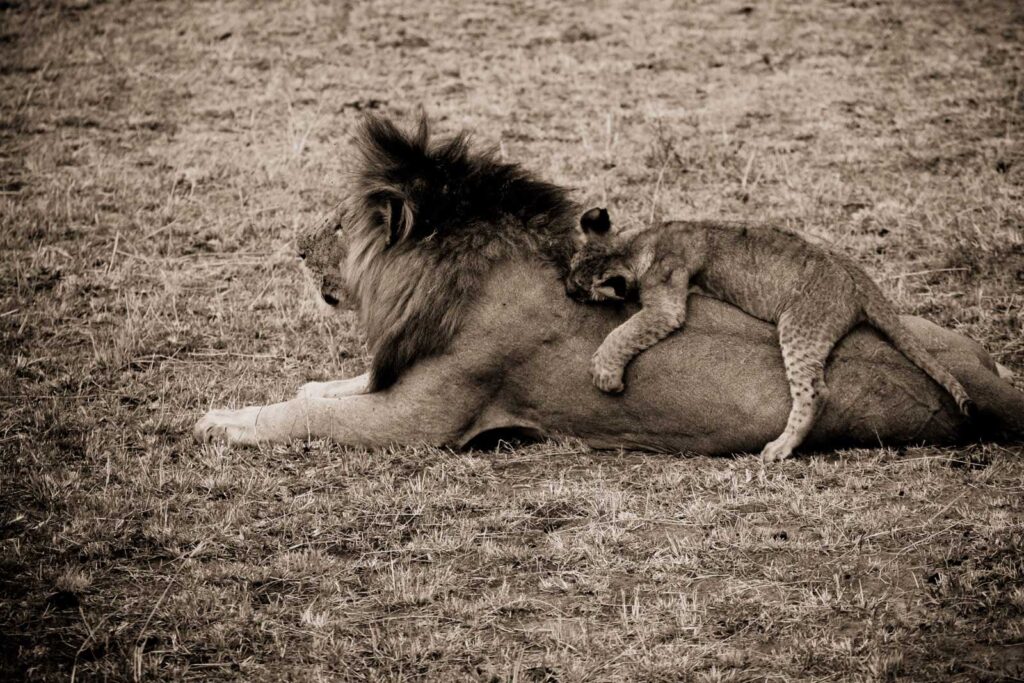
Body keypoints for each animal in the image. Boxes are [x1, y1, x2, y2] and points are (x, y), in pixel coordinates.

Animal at [195, 118, 1019, 454]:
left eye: (338, 225)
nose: (295, 247)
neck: (441, 282)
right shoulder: (391, 376)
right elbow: (318, 389)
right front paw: (245, 404)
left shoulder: (422, 421)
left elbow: (309, 415)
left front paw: (220, 423)